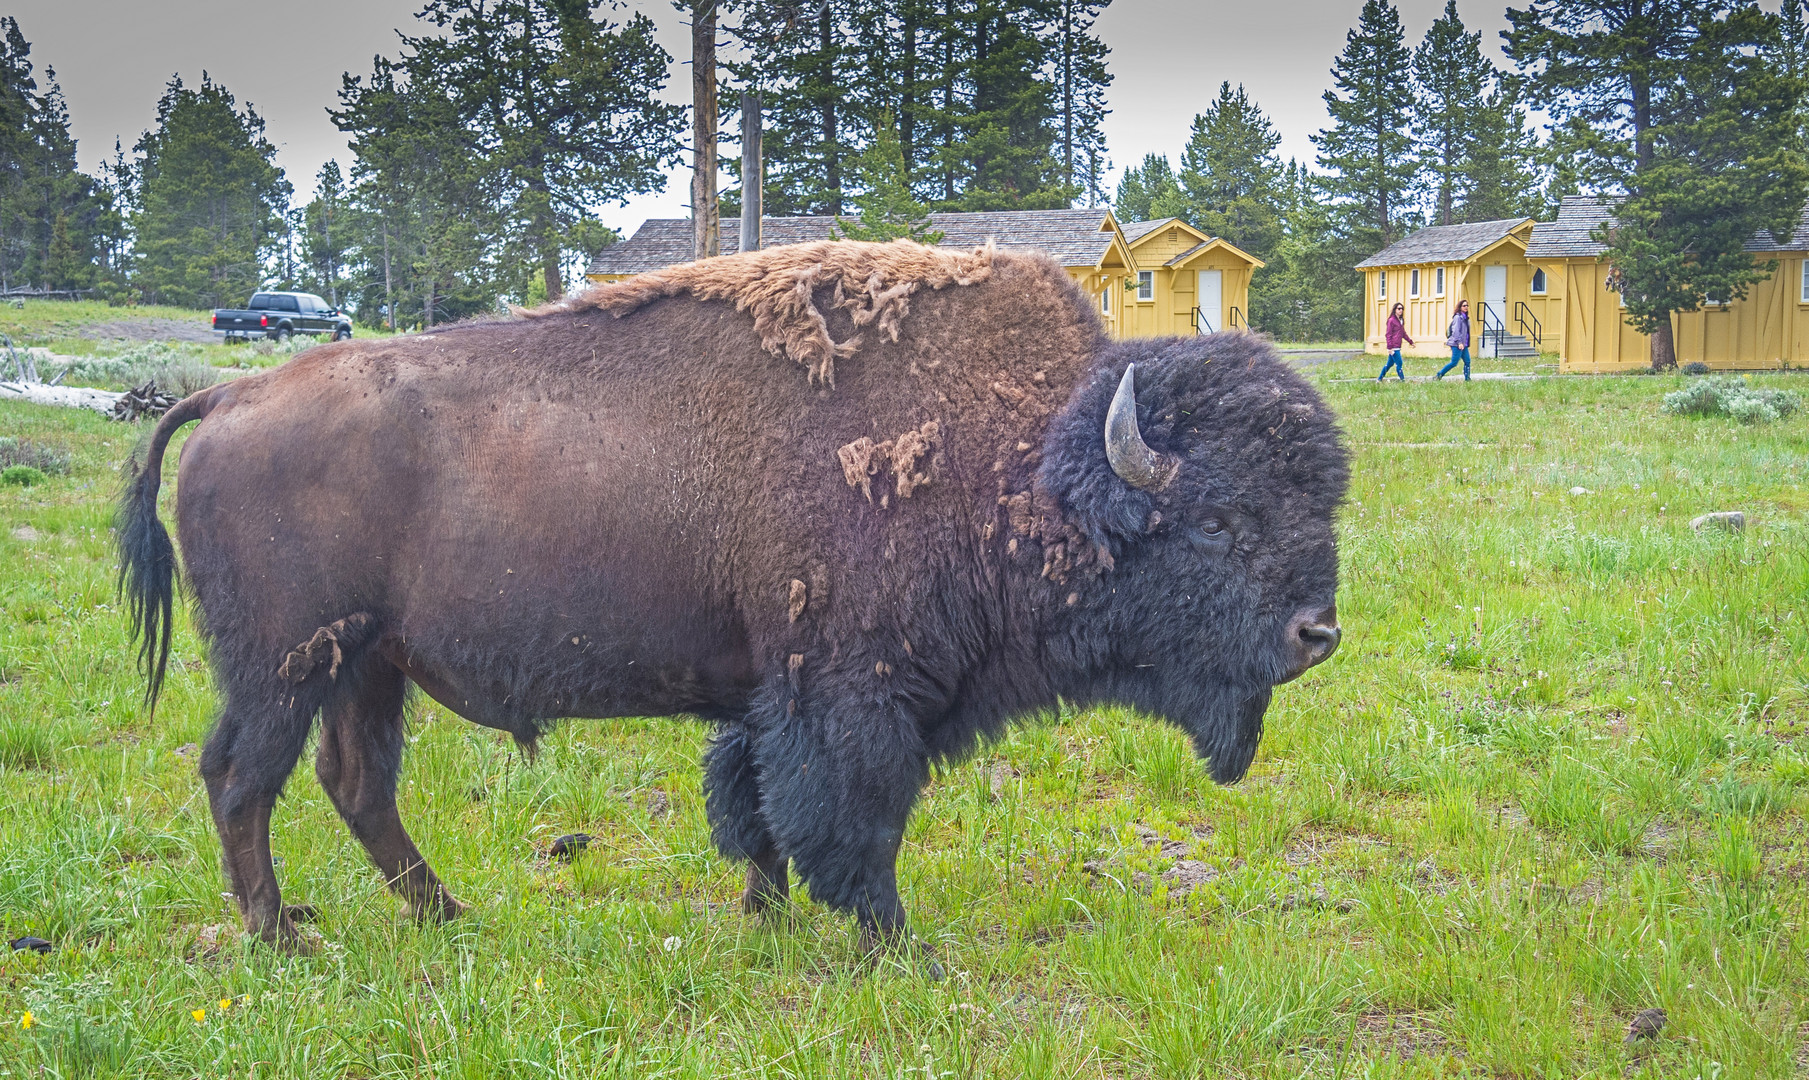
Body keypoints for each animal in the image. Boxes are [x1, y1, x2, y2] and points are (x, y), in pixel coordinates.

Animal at [123, 242, 1345, 955]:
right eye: (1217, 521)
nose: (1318, 632)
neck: (1028, 456)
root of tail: (230, 397)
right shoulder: (850, 695)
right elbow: (854, 819)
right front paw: (894, 944)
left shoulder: (767, 696)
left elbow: (752, 806)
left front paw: (768, 915)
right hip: (285, 666)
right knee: (242, 780)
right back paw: (282, 935)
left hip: (367, 666)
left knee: (352, 782)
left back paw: (446, 914)